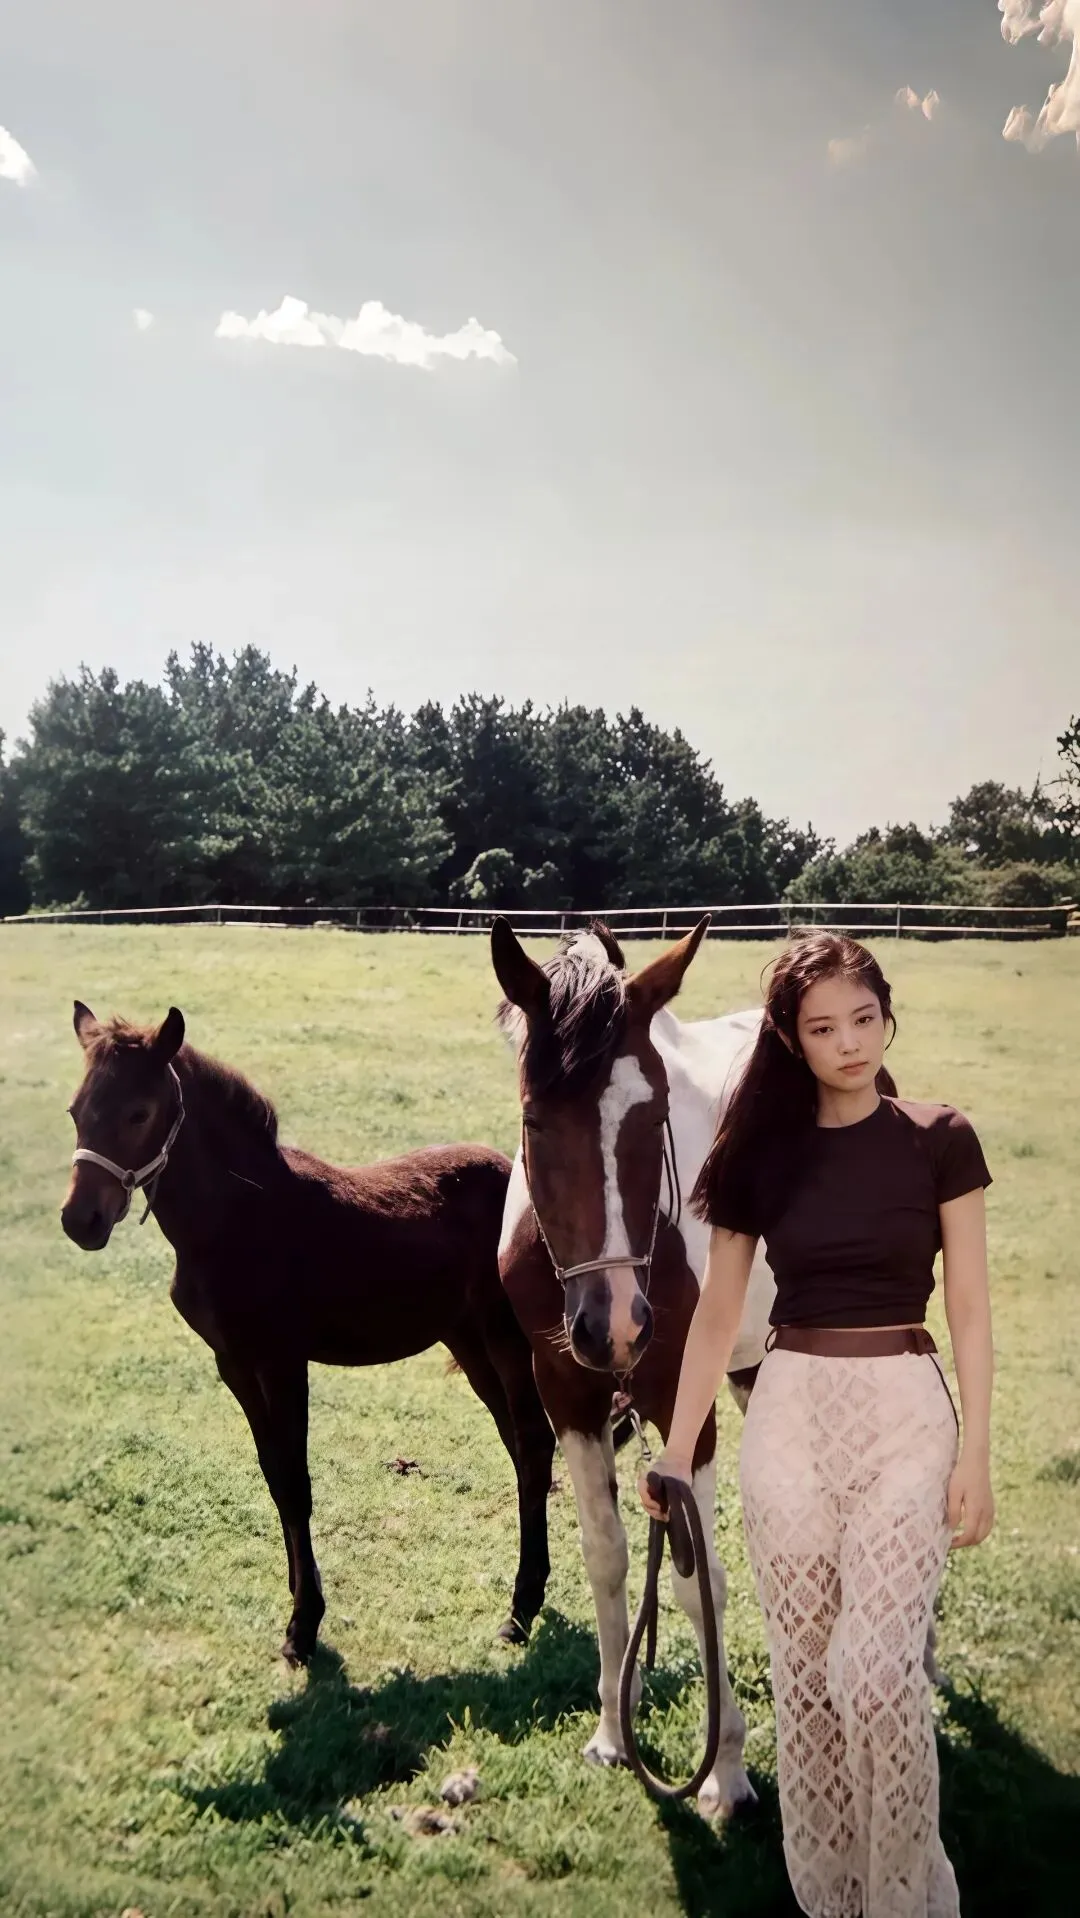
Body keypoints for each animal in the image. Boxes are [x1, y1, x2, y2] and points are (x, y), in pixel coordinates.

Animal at [59, 1001, 556, 1664]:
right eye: (75, 1111)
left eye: (139, 1112)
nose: (80, 1221)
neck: (237, 1219)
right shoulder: (234, 1364)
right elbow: (276, 1477)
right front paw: (302, 1605)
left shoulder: (282, 1362)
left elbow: (297, 1483)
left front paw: (304, 1626)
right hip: (469, 1341)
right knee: (519, 1444)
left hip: (507, 1339)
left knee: (534, 1443)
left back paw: (519, 1610)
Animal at [491, 916, 776, 1818]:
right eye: (534, 1120)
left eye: (654, 1121)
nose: (614, 1325)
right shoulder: (570, 1397)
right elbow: (610, 1559)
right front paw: (615, 1728)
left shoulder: (688, 1403)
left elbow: (699, 1580)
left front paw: (726, 1769)